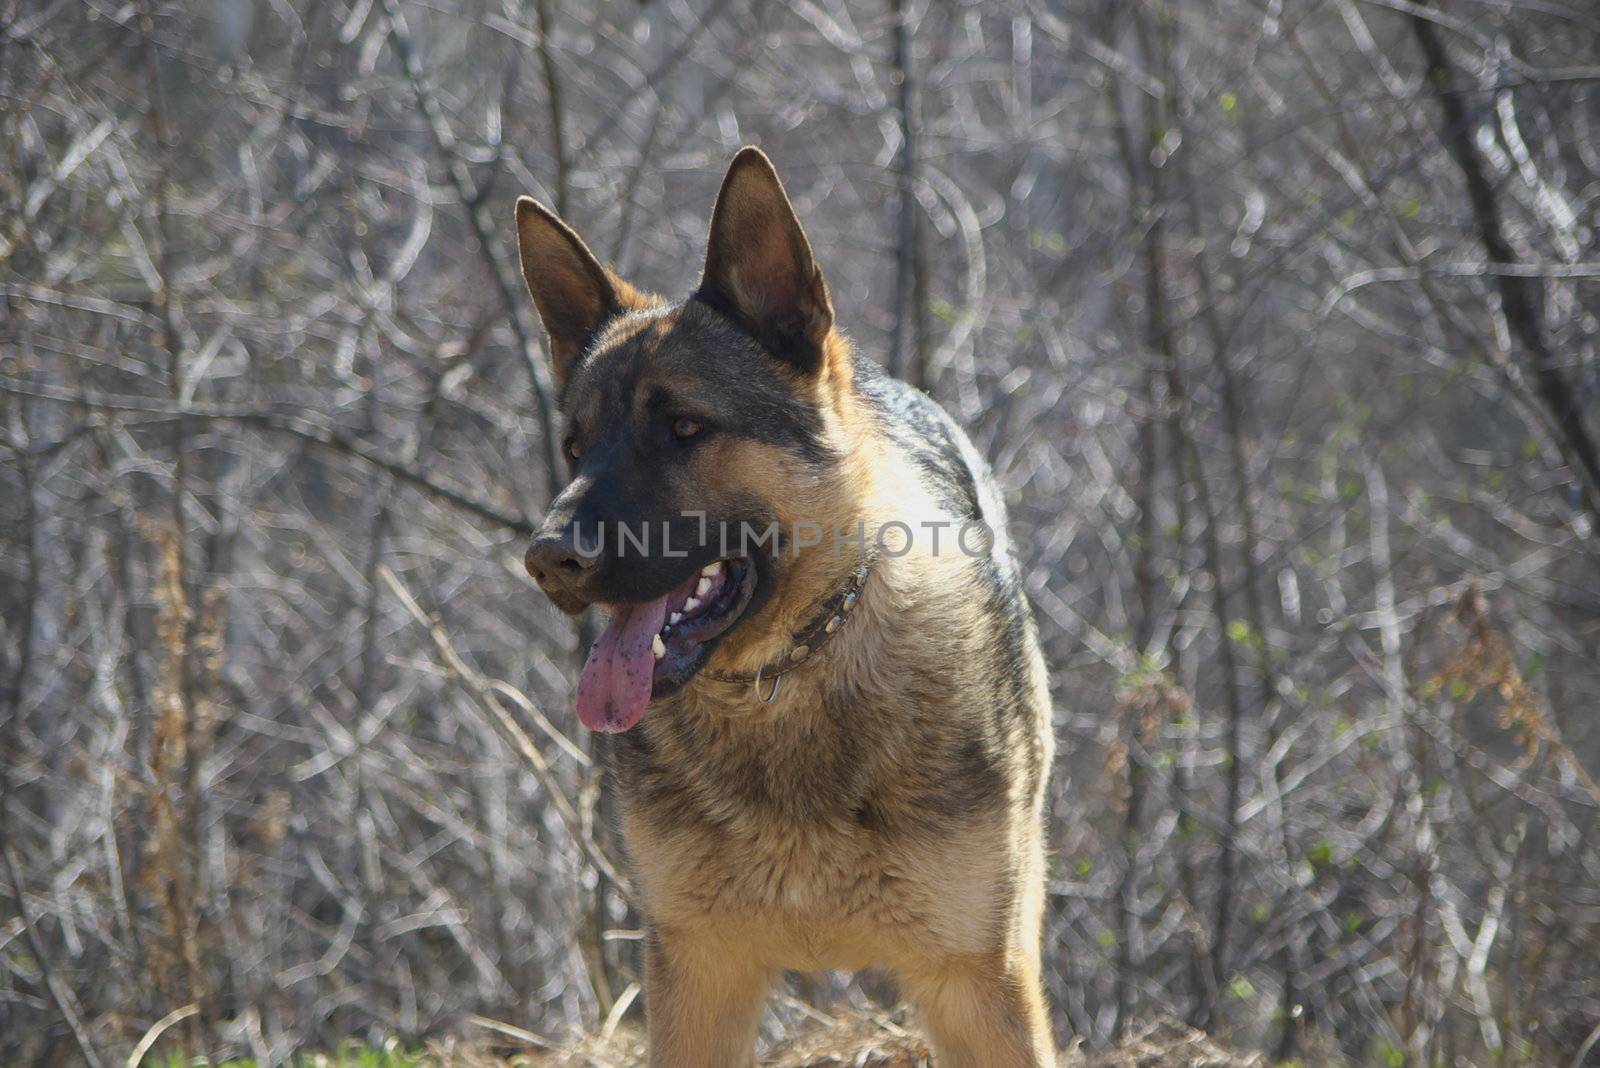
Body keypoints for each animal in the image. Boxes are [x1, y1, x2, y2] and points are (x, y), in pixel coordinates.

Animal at [518, 150, 1056, 1068]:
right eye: (576, 447)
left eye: (684, 427)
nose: (548, 558)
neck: (786, 678)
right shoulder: (700, 981)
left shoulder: (979, 987)